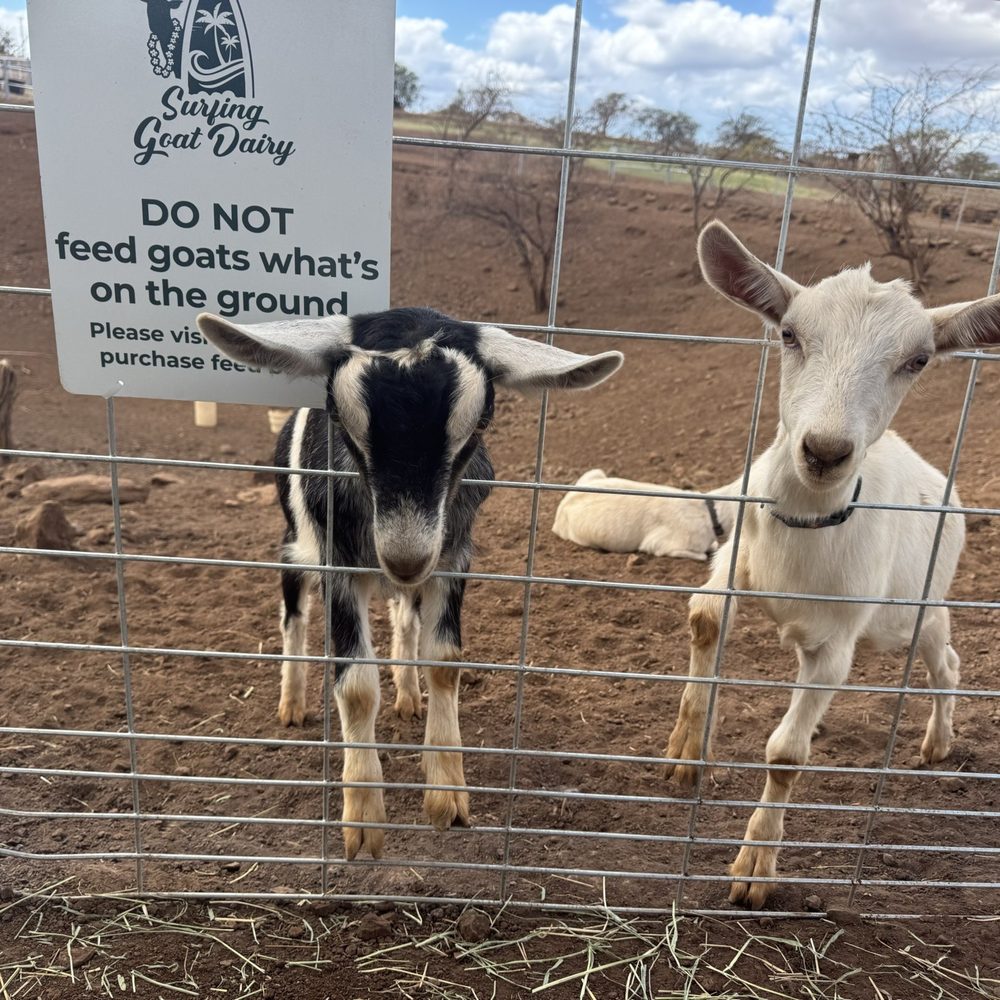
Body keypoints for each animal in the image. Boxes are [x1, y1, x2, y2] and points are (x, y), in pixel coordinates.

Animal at [196, 308, 622, 860]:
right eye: (338, 417)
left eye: (481, 422)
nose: (403, 557)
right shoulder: (339, 563)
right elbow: (355, 685)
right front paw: (362, 819)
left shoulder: (452, 557)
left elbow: (445, 662)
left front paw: (447, 796)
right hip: (294, 542)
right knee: (293, 615)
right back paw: (291, 703)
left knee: (403, 617)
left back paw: (407, 695)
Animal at [664, 221, 1000, 909]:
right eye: (789, 333)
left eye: (917, 360)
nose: (824, 451)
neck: (804, 527)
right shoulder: (737, 559)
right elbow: (705, 616)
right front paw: (689, 746)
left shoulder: (837, 643)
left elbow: (786, 755)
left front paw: (755, 870)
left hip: (916, 610)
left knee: (947, 661)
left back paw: (938, 742)